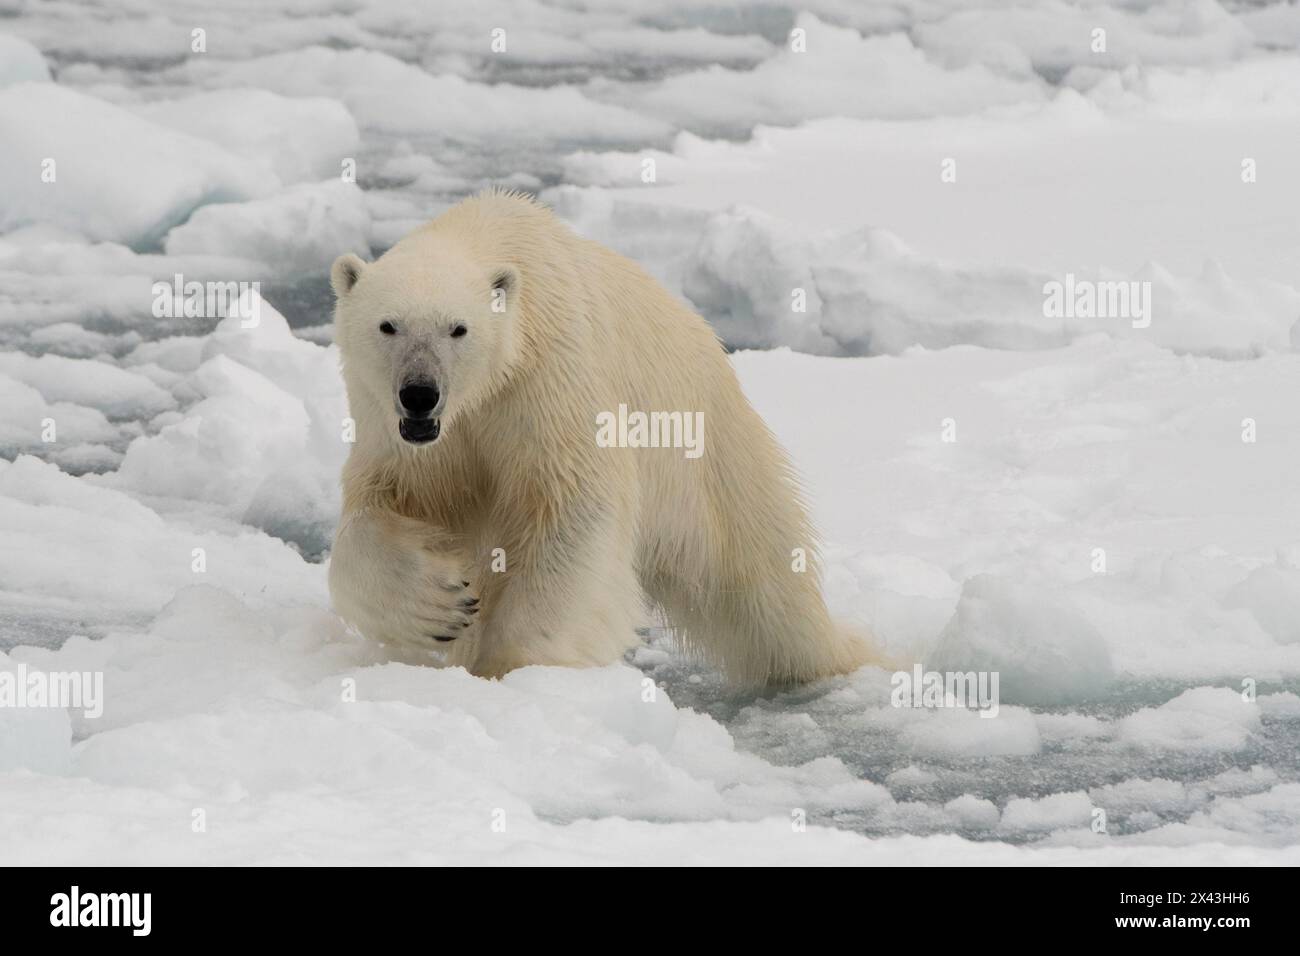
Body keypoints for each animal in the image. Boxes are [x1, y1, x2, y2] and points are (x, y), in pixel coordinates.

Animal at [327, 189, 872, 685]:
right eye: (388, 325)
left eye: (458, 329)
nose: (420, 393)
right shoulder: (398, 431)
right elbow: (380, 505)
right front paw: (441, 603)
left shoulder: (549, 380)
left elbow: (573, 502)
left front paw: (512, 663)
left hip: (711, 456)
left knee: (765, 590)